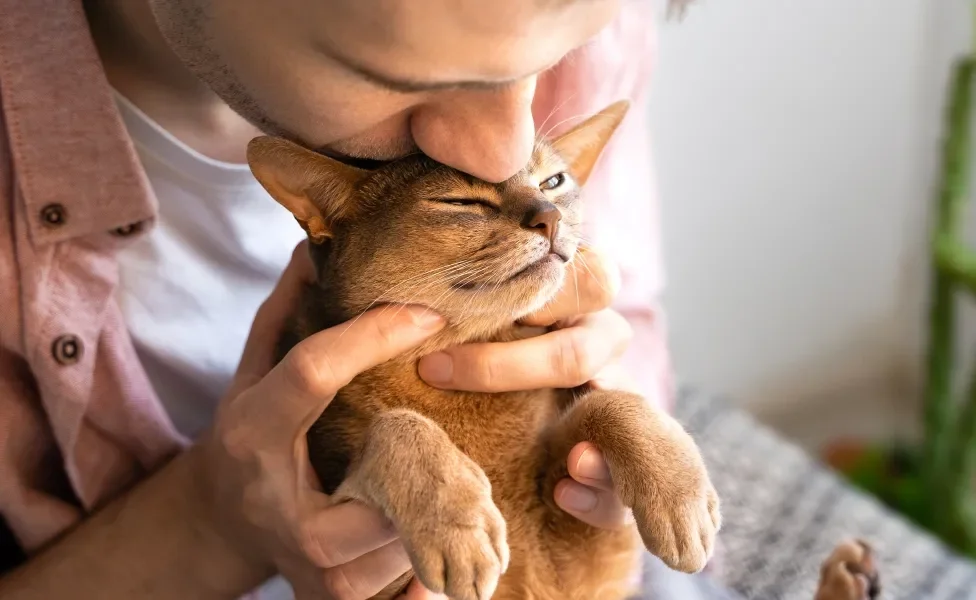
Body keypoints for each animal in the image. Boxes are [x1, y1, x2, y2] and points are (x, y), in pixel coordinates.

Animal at [250, 102, 724, 600]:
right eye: (461, 202)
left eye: (553, 182)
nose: (549, 216)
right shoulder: (365, 577)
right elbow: (395, 423)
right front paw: (457, 525)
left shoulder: (591, 552)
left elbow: (606, 401)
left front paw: (680, 494)